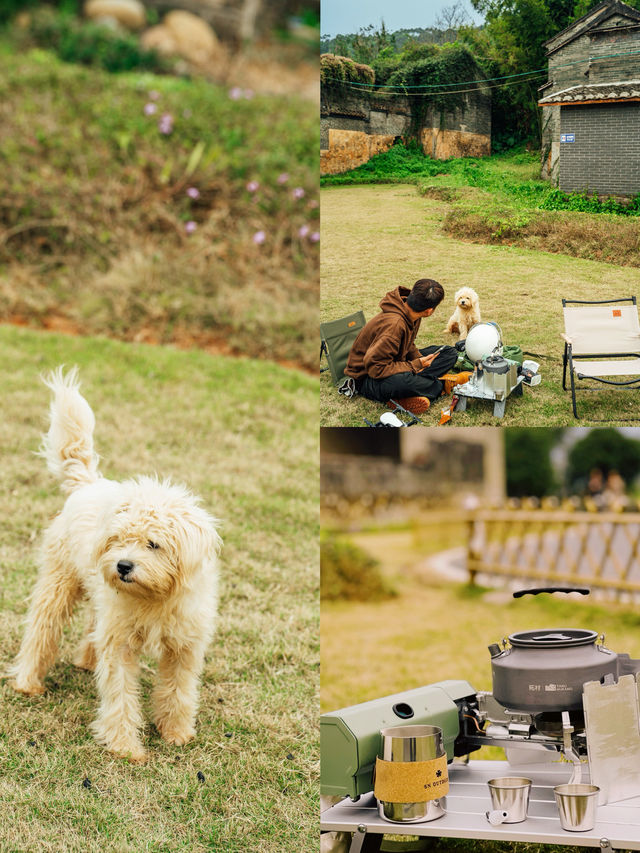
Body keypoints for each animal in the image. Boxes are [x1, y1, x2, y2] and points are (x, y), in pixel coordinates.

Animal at [8, 370, 220, 764]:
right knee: (41, 629)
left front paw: (176, 733)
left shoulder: (184, 645)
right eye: (118, 539)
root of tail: (88, 484)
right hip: (59, 583)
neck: (155, 597)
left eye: (153, 544)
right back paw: (28, 682)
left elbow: (178, 690)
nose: (123, 566)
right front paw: (125, 747)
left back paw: (86, 661)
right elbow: (120, 694)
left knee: (92, 625)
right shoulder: (121, 643)